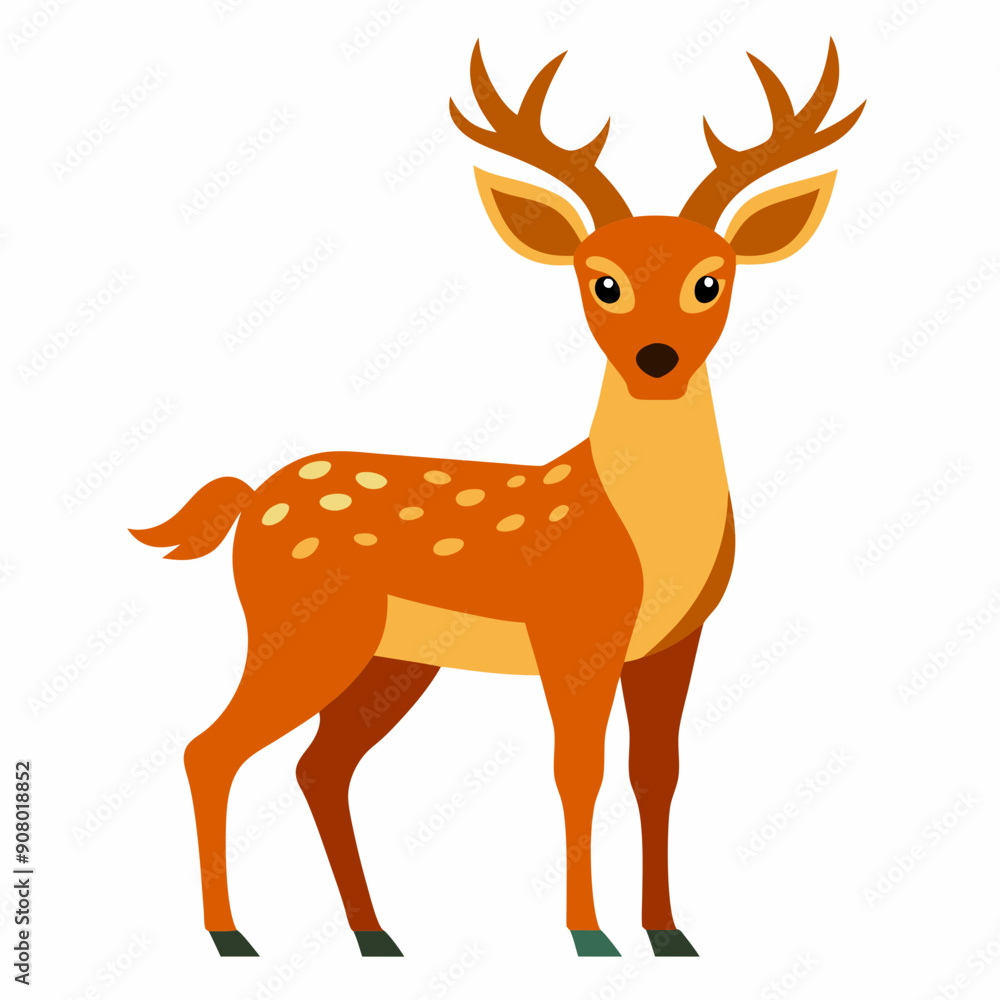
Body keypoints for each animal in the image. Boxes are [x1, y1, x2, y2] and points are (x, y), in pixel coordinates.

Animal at [131, 39, 864, 959]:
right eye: (602, 281)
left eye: (711, 280)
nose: (656, 359)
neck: (644, 533)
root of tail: (252, 497)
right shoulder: (573, 629)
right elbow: (577, 770)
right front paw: (589, 937)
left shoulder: (674, 641)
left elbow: (655, 772)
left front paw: (669, 934)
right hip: (301, 627)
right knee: (210, 750)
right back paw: (231, 936)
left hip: (391, 659)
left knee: (318, 765)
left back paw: (374, 935)